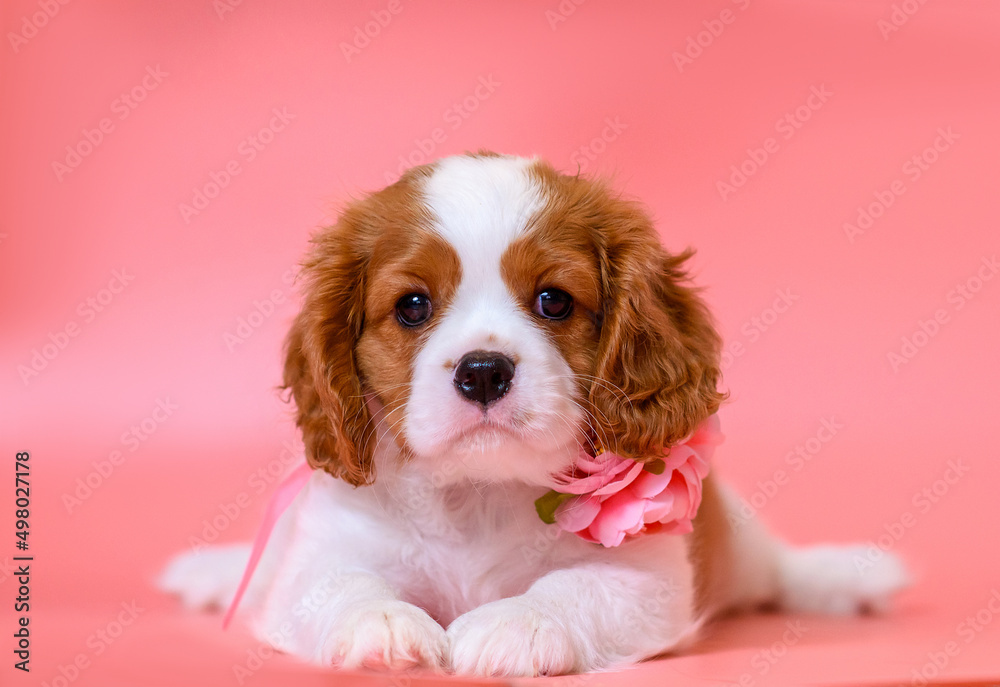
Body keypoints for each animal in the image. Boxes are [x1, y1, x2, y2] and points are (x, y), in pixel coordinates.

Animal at [160, 152, 912, 676]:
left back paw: (842, 575)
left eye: (554, 300)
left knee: (776, 565)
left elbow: (572, 588)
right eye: (412, 307)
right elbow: (340, 583)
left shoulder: (643, 577)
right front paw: (384, 621)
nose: (483, 370)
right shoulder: (322, 556)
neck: (478, 496)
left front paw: (513, 625)